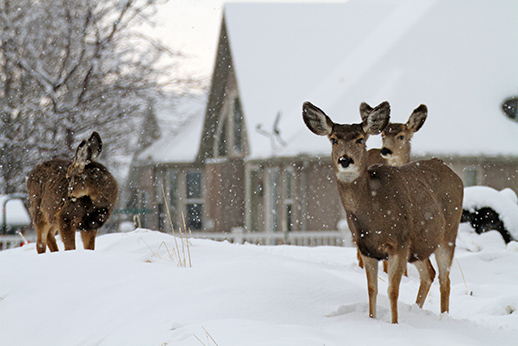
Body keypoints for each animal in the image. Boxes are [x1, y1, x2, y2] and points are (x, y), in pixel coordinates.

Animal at [302, 100, 466, 324]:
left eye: (360, 139)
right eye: (334, 139)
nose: (345, 160)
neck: (373, 213)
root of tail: (454, 175)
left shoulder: (399, 242)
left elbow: (392, 290)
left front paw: (394, 324)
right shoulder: (366, 247)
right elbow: (372, 289)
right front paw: (372, 319)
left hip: (448, 233)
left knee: (445, 279)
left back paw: (444, 318)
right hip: (420, 244)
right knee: (429, 274)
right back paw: (417, 309)